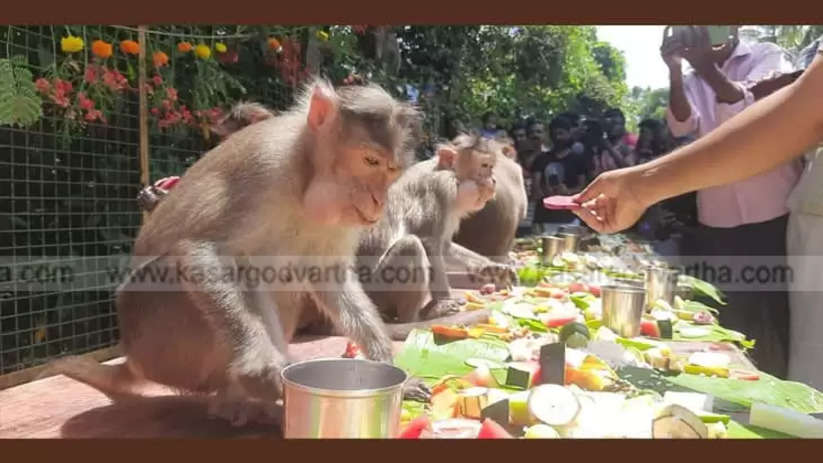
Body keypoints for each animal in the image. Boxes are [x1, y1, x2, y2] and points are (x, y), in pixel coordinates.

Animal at [50, 79, 422, 428]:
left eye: (391, 172)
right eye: (370, 160)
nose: (378, 201)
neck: (305, 180)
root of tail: (131, 357)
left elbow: (330, 276)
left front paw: (387, 365)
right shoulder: (267, 165)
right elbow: (199, 251)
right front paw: (260, 365)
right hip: (160, 336)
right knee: (245, 271)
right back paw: (241, 402)